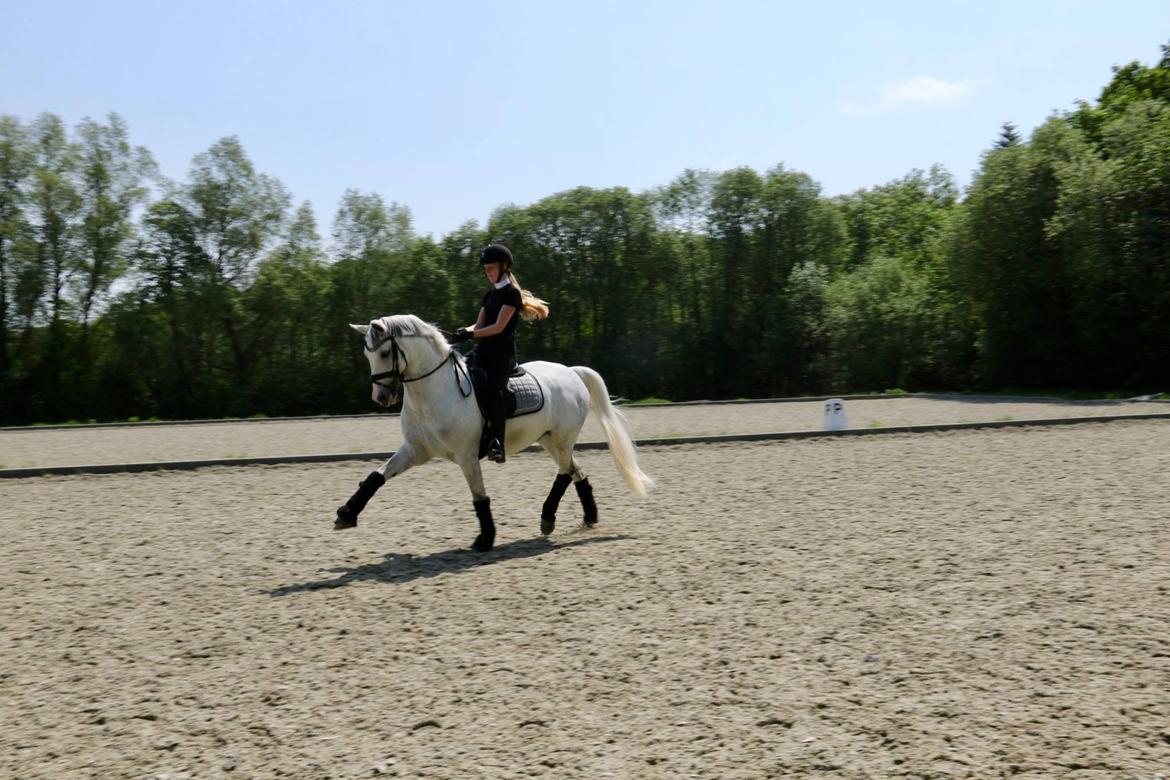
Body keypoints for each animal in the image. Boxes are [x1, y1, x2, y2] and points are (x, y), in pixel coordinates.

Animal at [334, 313, 655, 551]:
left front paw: (485, 539)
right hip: (550, 441)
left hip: (562, 439)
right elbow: (376, 477)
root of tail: (571, 372)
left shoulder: (466, 456)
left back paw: (548, 518)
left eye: (385, 352)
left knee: (565, 473)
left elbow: (480, 498)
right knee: (576, 472)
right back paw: (589, 516)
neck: (434, 391)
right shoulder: (415, 450)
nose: (381, 397)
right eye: (367, 354)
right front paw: (346, 514)